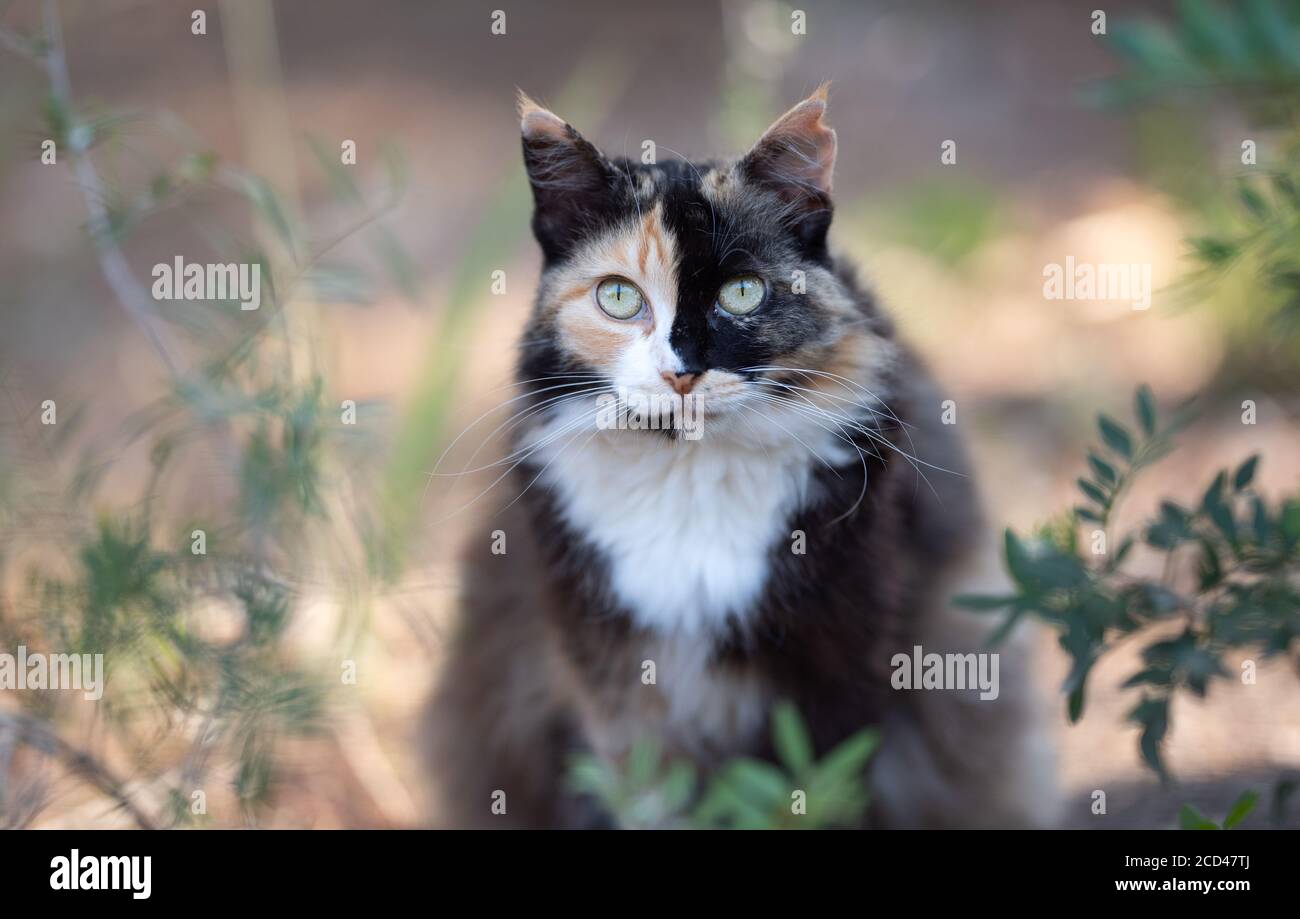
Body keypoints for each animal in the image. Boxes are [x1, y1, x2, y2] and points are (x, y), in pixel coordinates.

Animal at [423, 86, 1055, 831]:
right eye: (618, 297)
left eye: (743, 293)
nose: (681, 372)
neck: (691, 479)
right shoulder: (617, 691)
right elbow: (653, 801)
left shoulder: (841, 670)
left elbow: (816, 795)